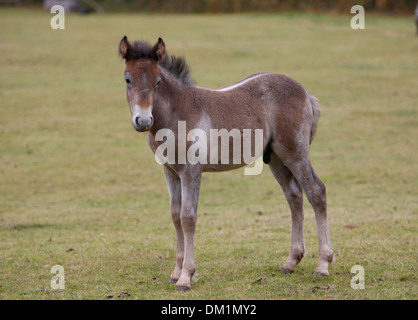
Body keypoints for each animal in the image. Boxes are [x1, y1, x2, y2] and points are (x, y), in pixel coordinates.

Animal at [118, 37, 334, 290]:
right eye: (128, 79)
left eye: (158, 81)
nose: (143, 120)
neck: (175, 114)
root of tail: (305, 92)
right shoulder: (170, 171)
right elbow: (175, 215)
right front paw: (175, 272)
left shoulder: (191, 170)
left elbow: (188, 217)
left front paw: (186, 277)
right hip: (277, 158)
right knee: (294, 196)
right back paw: (291, 262)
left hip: (295, 153)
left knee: (316, 192)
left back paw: (323, 264)